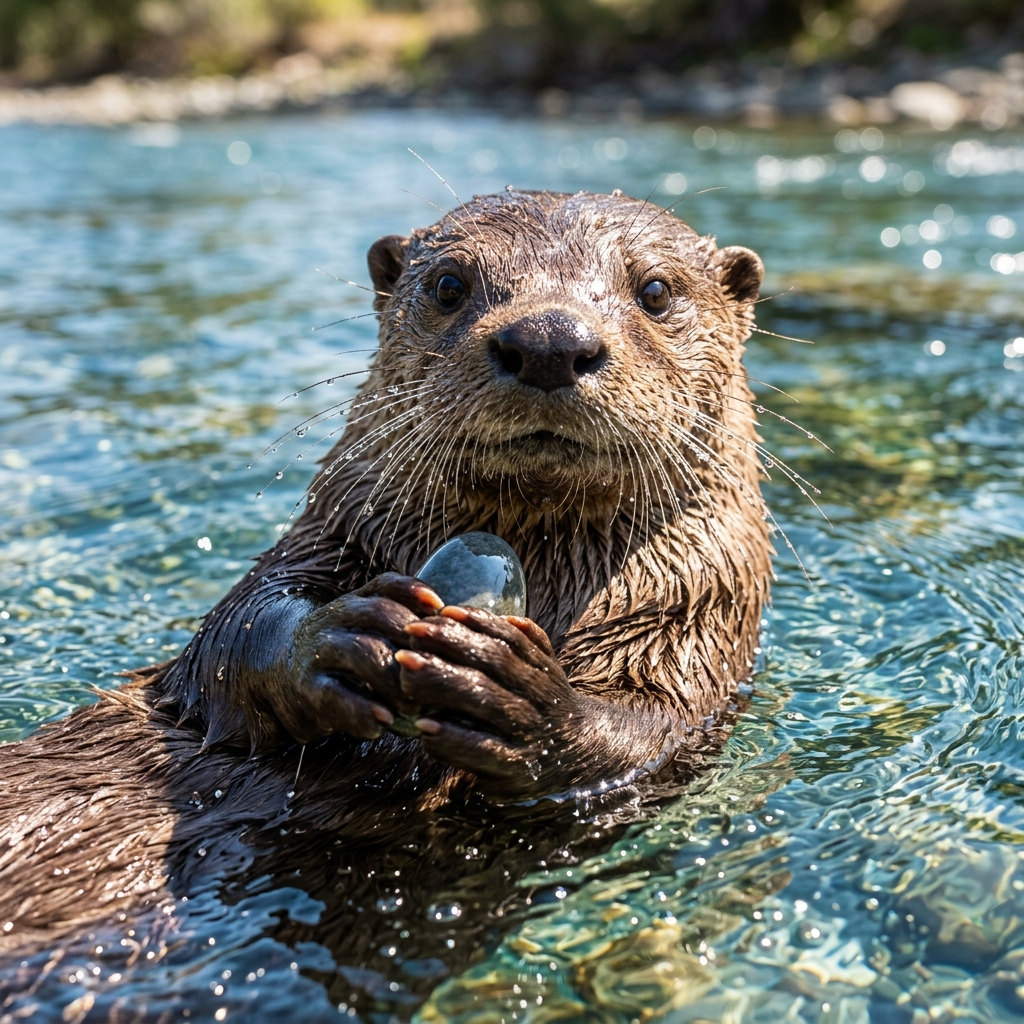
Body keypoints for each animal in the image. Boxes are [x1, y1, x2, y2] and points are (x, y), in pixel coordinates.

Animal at [0, 189, 771, 988]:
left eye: (655, 291)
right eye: (450, 284)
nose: (550, 339)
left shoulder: (695, 622)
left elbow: (648, 731)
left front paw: (518, 696)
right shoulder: (323, 538)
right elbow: (228, 641)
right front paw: (337, 642)